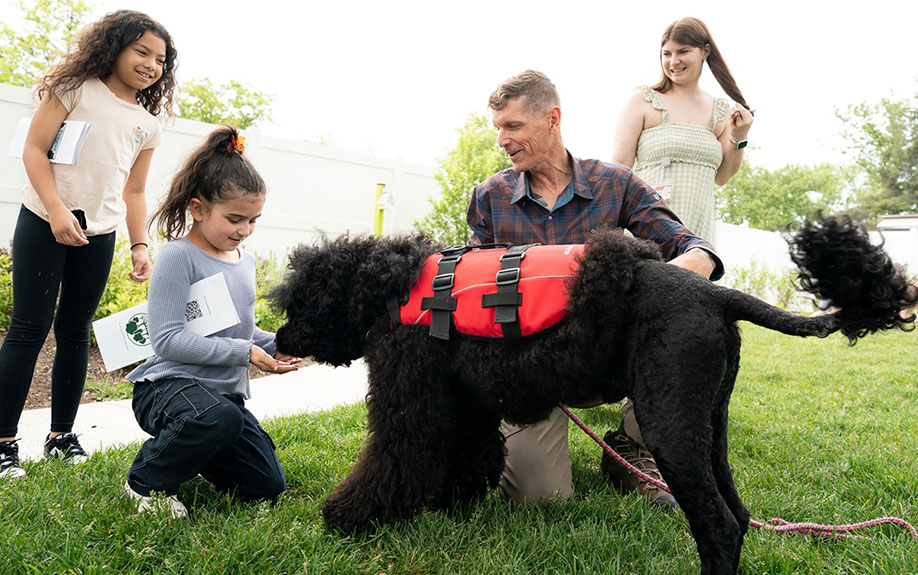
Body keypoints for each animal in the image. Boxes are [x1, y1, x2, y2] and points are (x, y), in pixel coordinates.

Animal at [270, 216, 916, 575]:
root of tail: (716, 296)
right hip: (710, 425)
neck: (391, 284)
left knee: (718, 524)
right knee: (737, 514)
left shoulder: (411, 406)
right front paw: (452, 505)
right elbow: (467, 456)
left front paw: (346, 517)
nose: (280, 341)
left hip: (669, 424)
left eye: (302, 304)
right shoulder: (466, 405)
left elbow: (390, 461)